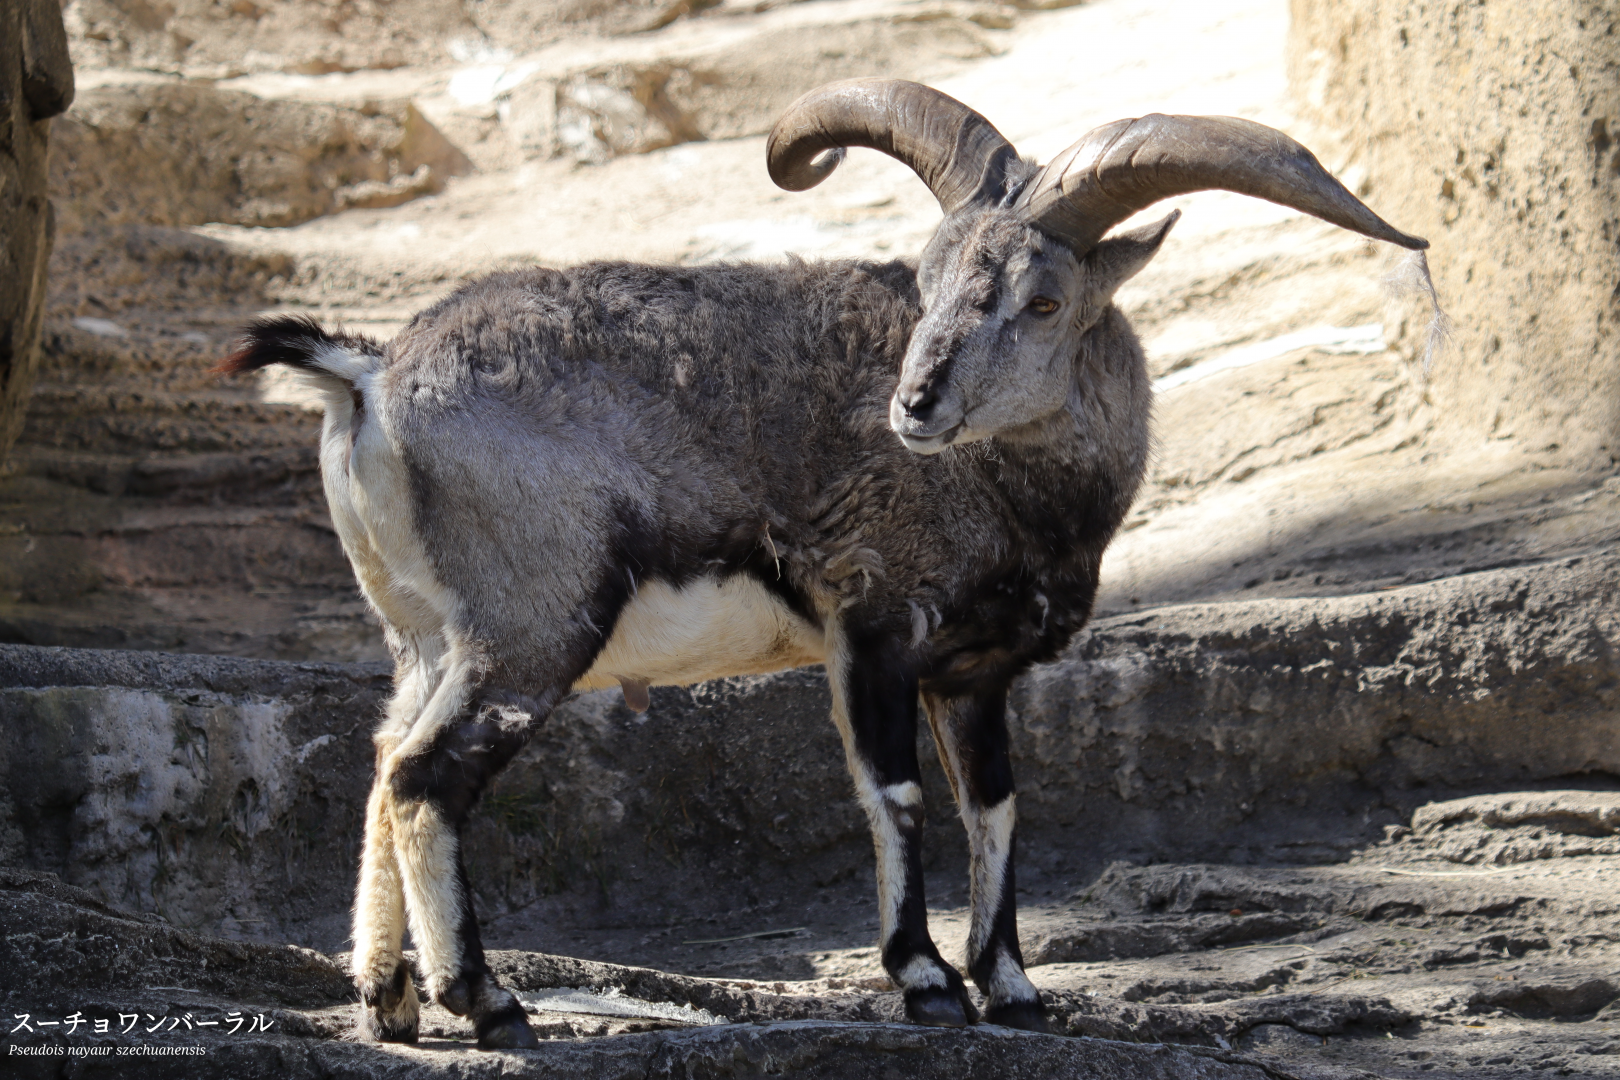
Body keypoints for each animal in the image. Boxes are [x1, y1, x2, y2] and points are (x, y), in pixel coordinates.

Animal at [219, 78, 1428, 1049]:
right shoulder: (874, 625)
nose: (916, 404)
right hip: (529, 625)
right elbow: (895, 792)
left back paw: (388, 1001)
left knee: (384, 757)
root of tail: (369, 376)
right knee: (427, 778)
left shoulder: (976, 672)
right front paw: (927, 982)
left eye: (1042, 299)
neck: (1014, 490)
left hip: (425, 636)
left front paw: (1015, 989)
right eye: (930, 284)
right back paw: (486, 1003)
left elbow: (996, 805)